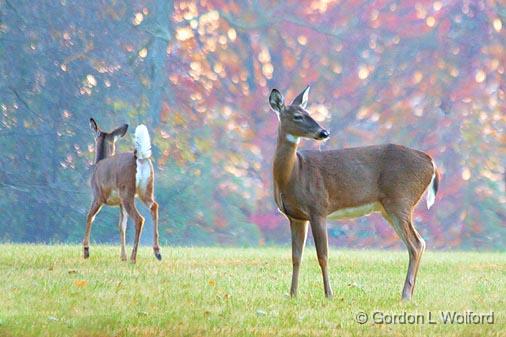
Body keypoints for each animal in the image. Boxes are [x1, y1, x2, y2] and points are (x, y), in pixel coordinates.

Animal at [84, 118, 161, 262]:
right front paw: (122, 256)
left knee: (139, 219)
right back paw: (157, 252)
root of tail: (140, 158)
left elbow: (90, 216)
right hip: (146, 189)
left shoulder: (98, 196)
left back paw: (133, 258)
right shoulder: (119, 203)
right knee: (154, 206)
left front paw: (86, 251)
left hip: (127, 192)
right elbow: (122, 226)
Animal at [268, 86, 438, 300]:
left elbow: (323, 256)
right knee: (417, 243)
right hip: (389, 207)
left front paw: (329, 295)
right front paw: (292, 294)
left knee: (416, 243)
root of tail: (431, 163)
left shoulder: (318, 208)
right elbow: (296, 257)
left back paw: (405, 295)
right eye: (298, 116)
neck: (292, 174)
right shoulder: (296, 217)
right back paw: (410, 292)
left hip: (401, 199)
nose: (324, 132)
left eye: (309, 112)